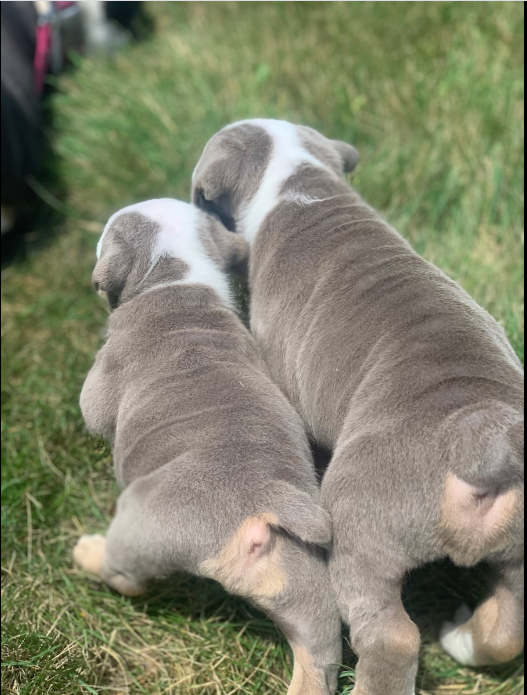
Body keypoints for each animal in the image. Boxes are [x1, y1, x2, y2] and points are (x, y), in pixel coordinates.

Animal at [74, 198, 342, 692]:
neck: (176, 276)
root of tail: (262, 497)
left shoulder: (103, 382)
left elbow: (93, 412)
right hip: (303, 581)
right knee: (318, 652)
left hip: (142, 525)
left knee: (125, 576)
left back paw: (89, 553)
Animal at [195, 122, 527, 695]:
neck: (299, 178)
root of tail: (484, 443)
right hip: (519, 551)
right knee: (510, 625)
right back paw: (461, 636)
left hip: (360, 525)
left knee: (391, 637)